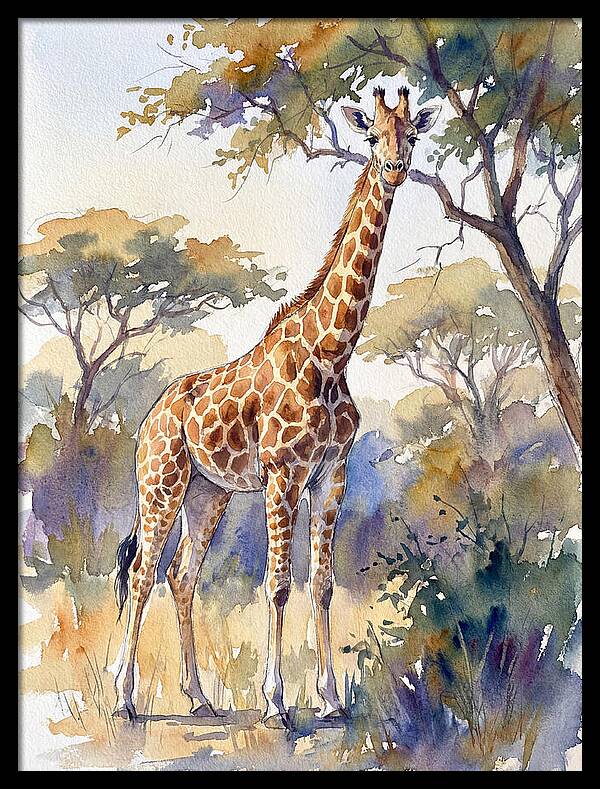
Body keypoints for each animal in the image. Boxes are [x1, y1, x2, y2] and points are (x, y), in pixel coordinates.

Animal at [111, 86, 440, 728]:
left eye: (412, 132)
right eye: (372, 135)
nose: (394, 168)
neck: (331, 353)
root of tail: (148, 421)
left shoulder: (331, 472)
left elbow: (323, 583)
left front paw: (332, 700)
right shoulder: (282, 472)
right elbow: (279, 582)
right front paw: (277, 703)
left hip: (207, 493)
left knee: (181, 576)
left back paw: (199, 697)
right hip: (160, 483)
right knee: (142, 573)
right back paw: (125, 698)